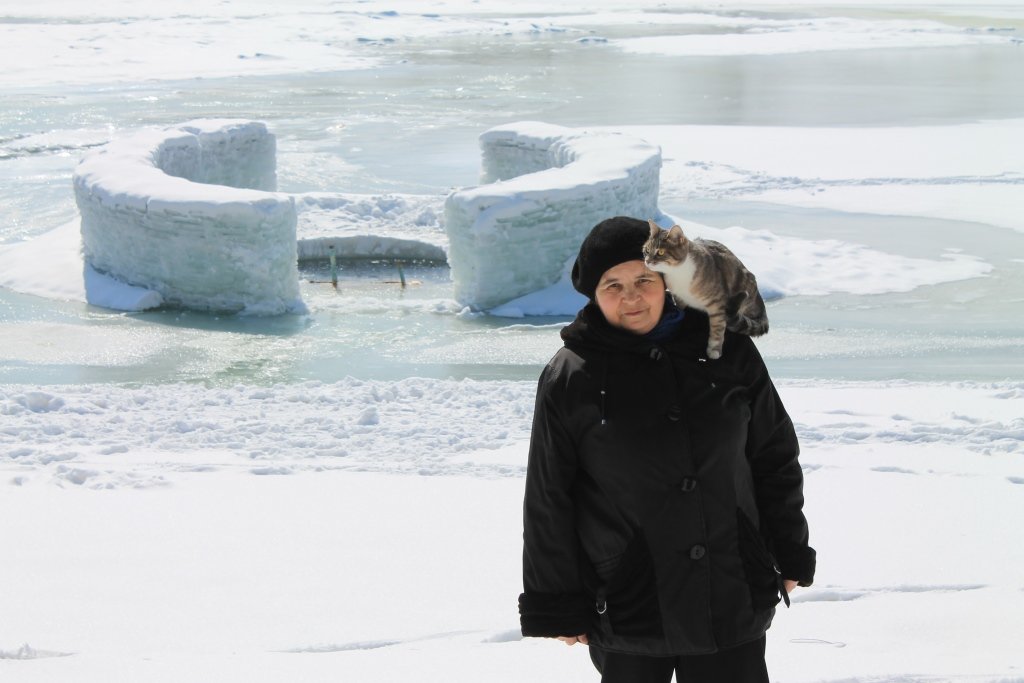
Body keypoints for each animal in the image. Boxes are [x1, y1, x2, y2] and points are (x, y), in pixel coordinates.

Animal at [638, 220, 770, 360]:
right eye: (647, 250)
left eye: (661, 252)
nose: (647, 261)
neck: (677, 272)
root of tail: (760, 303)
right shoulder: (679, 297)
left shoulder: (718, 304)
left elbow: (717, 328)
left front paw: (714, 350)